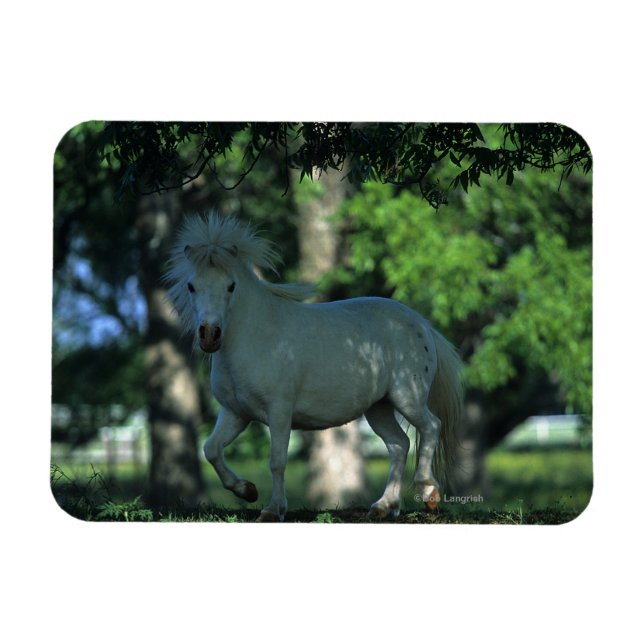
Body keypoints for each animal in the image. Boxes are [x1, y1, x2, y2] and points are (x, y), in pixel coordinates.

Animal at [165, 212, 464, 522]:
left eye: (230, 285)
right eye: (191, 286)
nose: (210, 335)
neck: (257, 334)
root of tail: (422, 323)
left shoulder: (279, 411)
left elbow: (277, 460)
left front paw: (273, 509)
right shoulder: (236, 413)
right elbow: (211, 449)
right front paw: (247, 491)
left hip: (408, 397)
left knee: (430, 427)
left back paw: (428, 492)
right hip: (379, 408)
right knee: (399, 445)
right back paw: (383, 506)